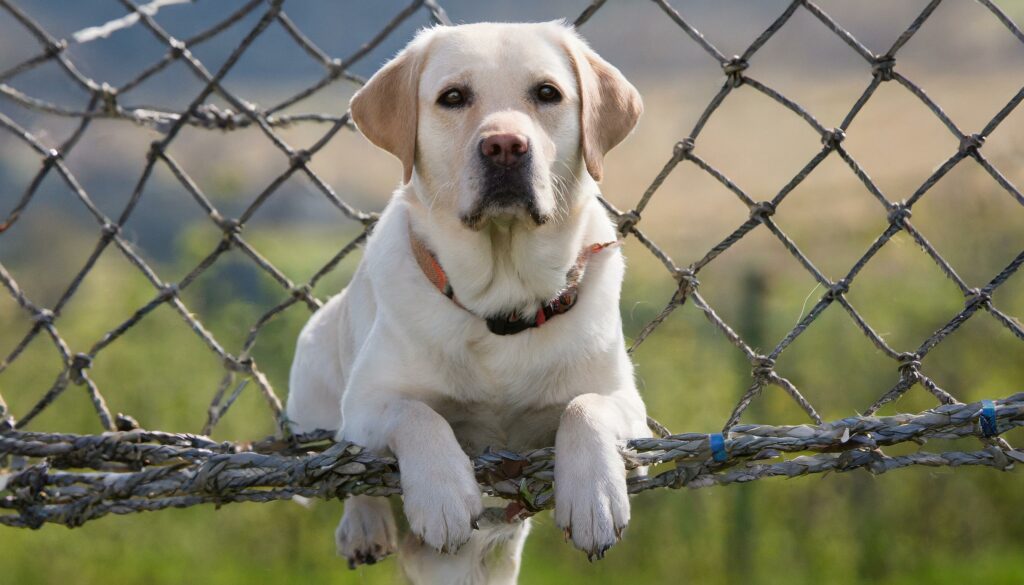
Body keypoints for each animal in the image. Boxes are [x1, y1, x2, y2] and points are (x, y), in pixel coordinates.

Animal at [284, 20, 643, 585]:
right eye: (453, 97)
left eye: (548, 93)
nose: (505, 145)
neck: (501, 306)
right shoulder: (367, 402)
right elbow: (415, 414)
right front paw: (443, 494)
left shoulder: (628, 403)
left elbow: (584, 407)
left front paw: (595, 499)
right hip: (315, 368)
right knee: (345, 466)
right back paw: (365, 528)